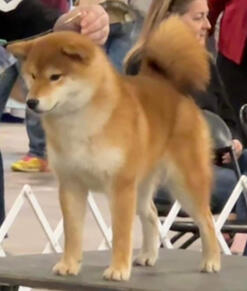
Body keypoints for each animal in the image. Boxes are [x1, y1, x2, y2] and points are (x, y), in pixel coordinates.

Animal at [7, 16, 220, 282]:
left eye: (55, 77)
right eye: (33, 76)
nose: (31, 102)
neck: (79, 121)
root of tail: (170, 87)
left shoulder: (120, 186)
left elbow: (121, 234)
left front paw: (118, 269)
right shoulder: (71, 184)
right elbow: (72, 232)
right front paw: (69, 264)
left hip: (184, 183)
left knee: (206, 220)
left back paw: (211, 261)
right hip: (141, 187)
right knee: (151, 214)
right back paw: (147, 255)